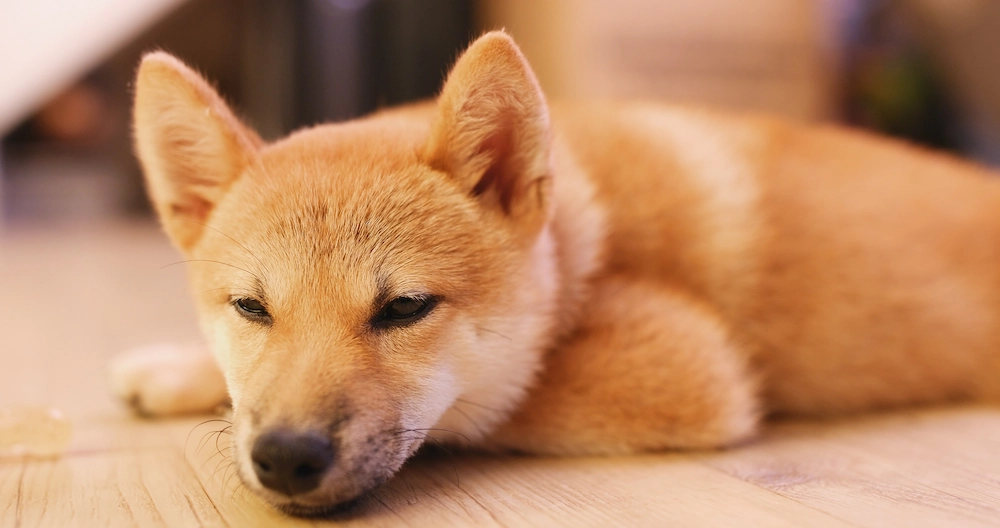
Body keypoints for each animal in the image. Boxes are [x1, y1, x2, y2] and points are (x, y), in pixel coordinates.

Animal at [109, 32, 1000, 516]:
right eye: (251, 308)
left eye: (404, 308)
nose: (287, 456)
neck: (581, 241)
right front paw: (183, 369)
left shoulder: (686, 366)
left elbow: (488, 408)